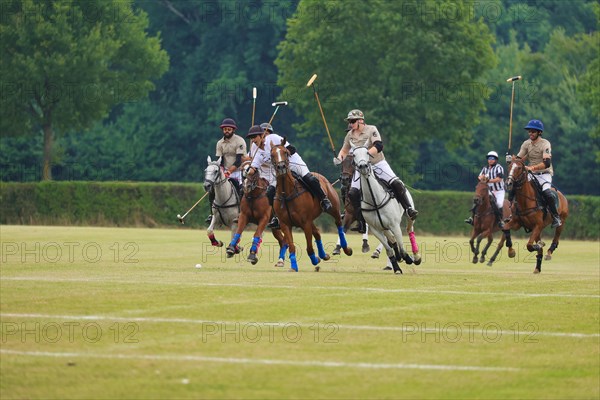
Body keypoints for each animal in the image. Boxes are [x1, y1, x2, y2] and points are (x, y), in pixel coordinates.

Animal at [270, 141, 352, 272]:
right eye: (272, 154)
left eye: (285, 152)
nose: (281, 167)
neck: (287, 194)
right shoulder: (285, 224)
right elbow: (292, 246)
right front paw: (294, 267)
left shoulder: (305, 223)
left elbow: (309, 247)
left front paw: (315, 260)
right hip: (311, 219)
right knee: (317, 232)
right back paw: (324, 255)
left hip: (333, 209)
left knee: (339, 224)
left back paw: (346, 249)